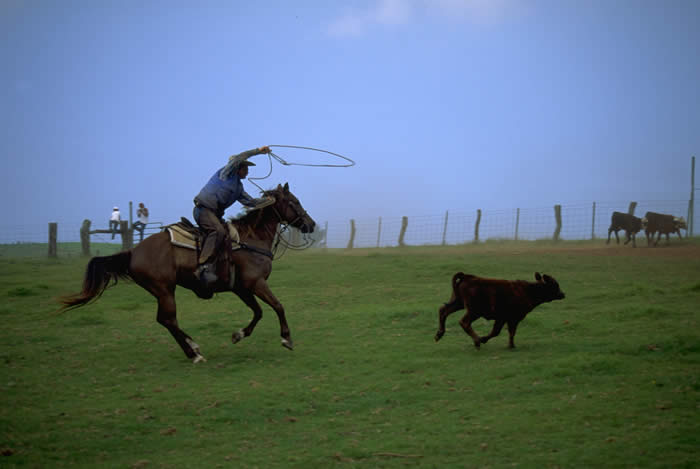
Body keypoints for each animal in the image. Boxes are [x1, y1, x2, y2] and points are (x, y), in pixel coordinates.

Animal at [57, 183, 314, 362]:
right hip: (164, 290)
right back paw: (194, 352)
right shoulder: (256, 283)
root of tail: (133, 251)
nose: (310, 225)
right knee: (168, 319)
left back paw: (192, 348)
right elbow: (278, 306)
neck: (250, 239)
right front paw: (286, 338)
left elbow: (258, 312)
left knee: (165, 320)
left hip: (161, 291)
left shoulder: (241, 288)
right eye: (294, 201)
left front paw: (238, 334)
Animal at [434, 270, 568, 348]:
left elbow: (499, 331)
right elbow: (504, 332)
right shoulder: (511, 318)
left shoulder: (504, 319)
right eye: (555, 285)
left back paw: (439, 335)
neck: (529, 291)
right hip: (473, 311)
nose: (563, 294)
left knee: (443, 311)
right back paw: (477, 341)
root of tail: (467, 277)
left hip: (458, 303)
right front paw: (509, 345)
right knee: (464, 322)